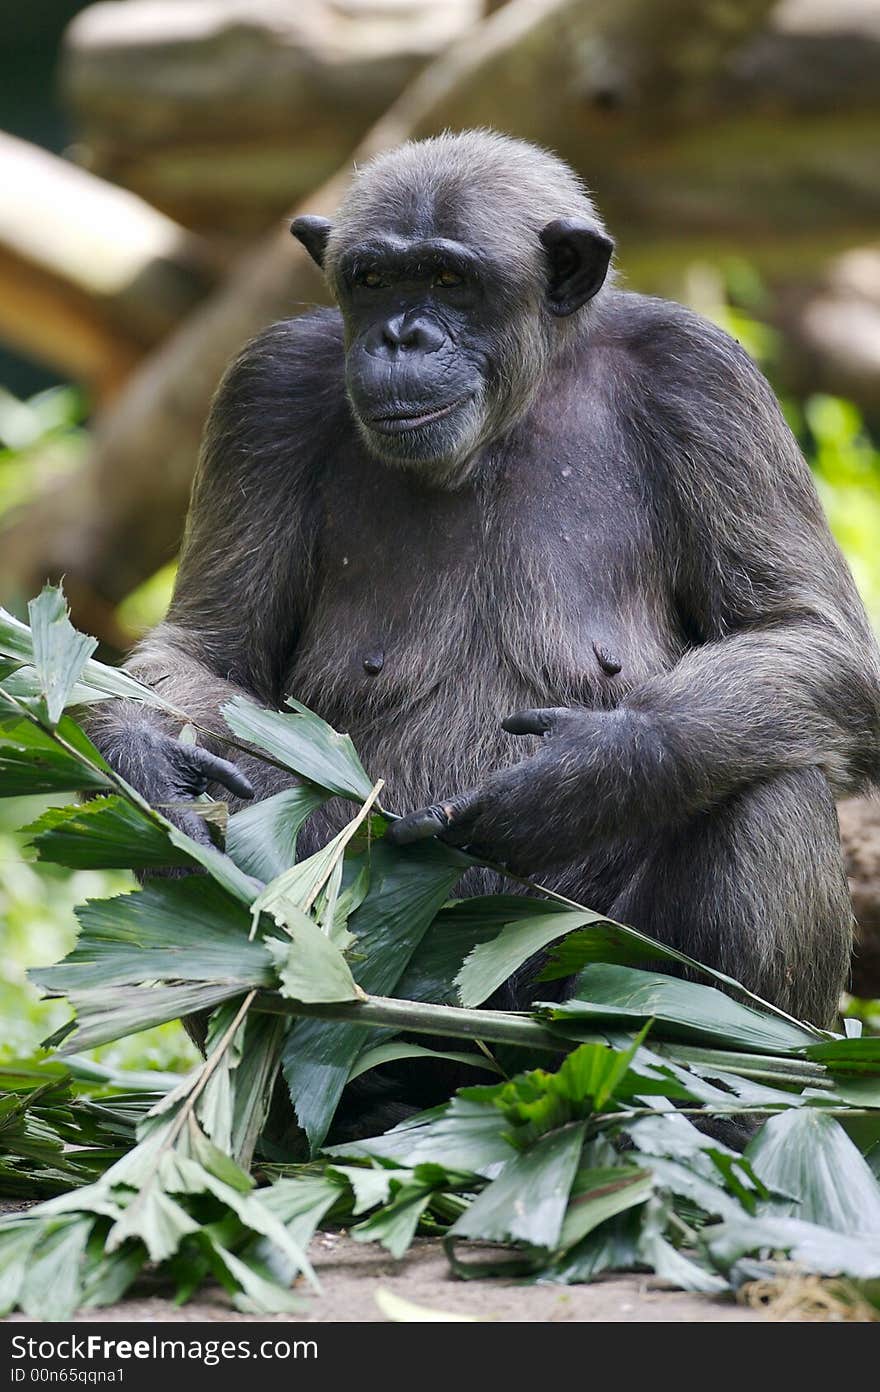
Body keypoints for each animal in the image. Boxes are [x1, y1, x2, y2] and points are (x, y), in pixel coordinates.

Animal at [87, 130, 880, 1035]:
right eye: (372, 279)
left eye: (447, 279)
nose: (401, 336)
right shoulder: (266, 392)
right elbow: (210, 650)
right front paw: (148, 758)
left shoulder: (709, 382)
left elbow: (804, 629)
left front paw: (583, 772)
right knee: (207, 824)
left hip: (579, 971)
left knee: (768, 773)